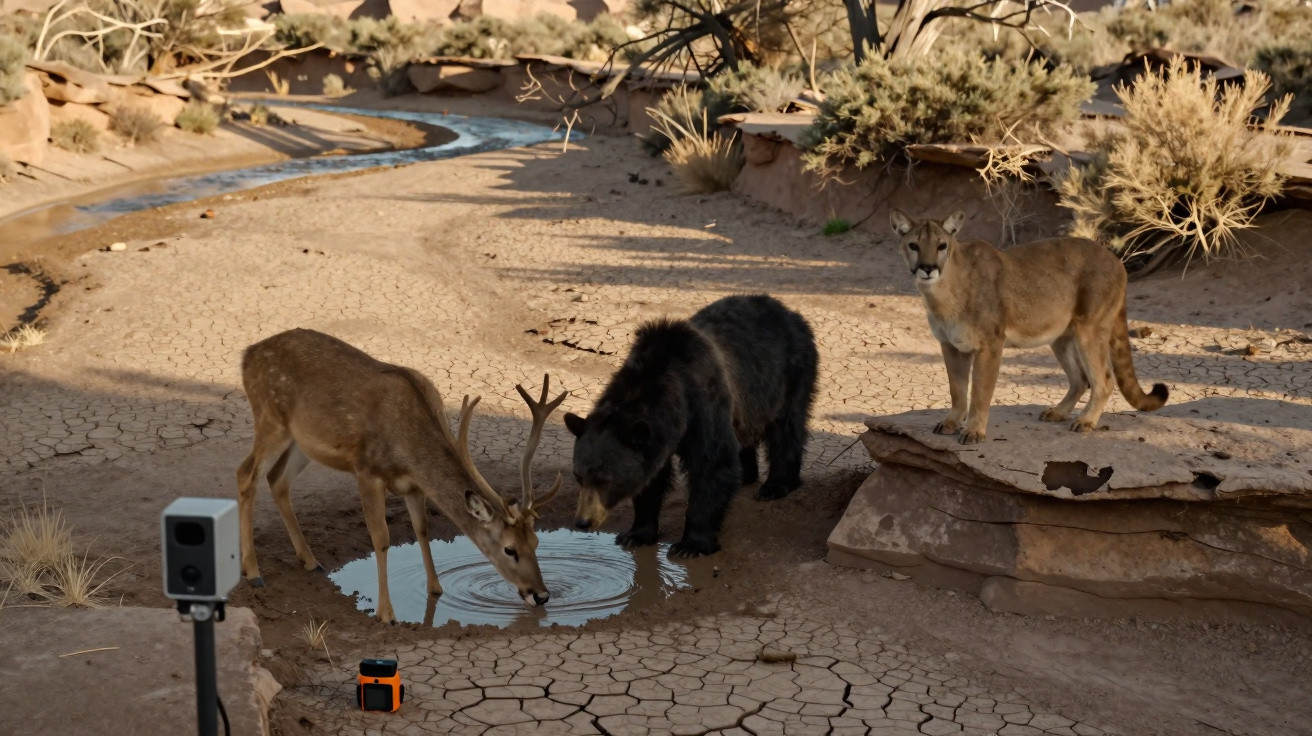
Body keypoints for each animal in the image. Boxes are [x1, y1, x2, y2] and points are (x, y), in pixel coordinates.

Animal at [235, 328, 568, 624]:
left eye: (536, 541)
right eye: (509, 549)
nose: (541, 595)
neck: (409, 446)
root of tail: (247, 354)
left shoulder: (414, 485)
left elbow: (422, 529)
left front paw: (436, 589)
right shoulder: (366, 469)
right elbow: (381, 538)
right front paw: (387, 614)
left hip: (302, 440)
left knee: (277, 479)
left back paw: (310, 561)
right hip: (270, 417)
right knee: (246, 474)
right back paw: (253, 572)